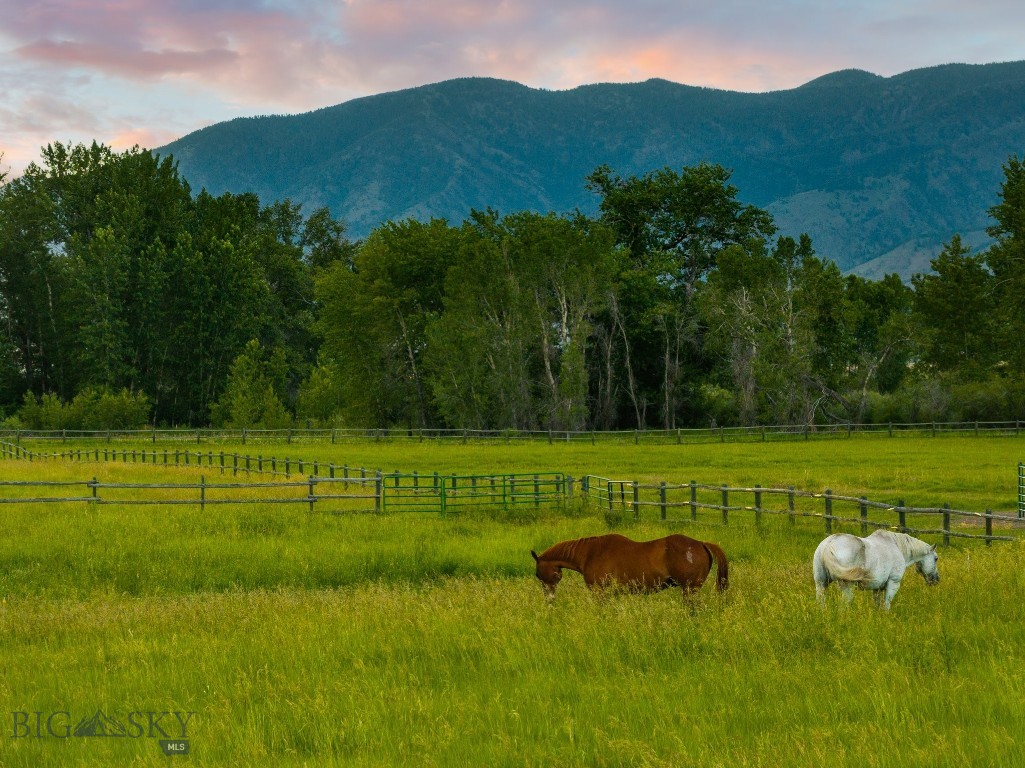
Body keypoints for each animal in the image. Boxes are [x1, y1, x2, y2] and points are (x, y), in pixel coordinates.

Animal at [528, 533, 729, 598]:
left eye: (538, 574)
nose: (549, 598)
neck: (590, 553)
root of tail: (700, 543)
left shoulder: (600, 592)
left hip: (689, 589)